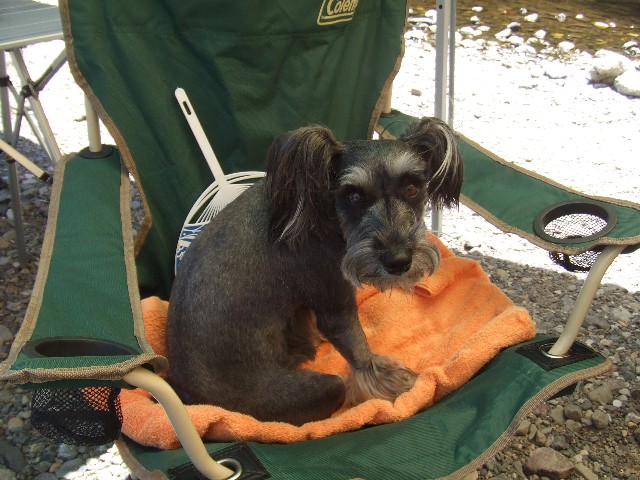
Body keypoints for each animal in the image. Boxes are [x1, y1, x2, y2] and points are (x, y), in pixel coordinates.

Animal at [166, 117, 463, 425]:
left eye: (412, 188)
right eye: (354, 195)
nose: (398, 261)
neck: (322, 210)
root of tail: (187, 396)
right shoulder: (336, 306)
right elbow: (361, 352)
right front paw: (391, 385)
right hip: (324, 388)